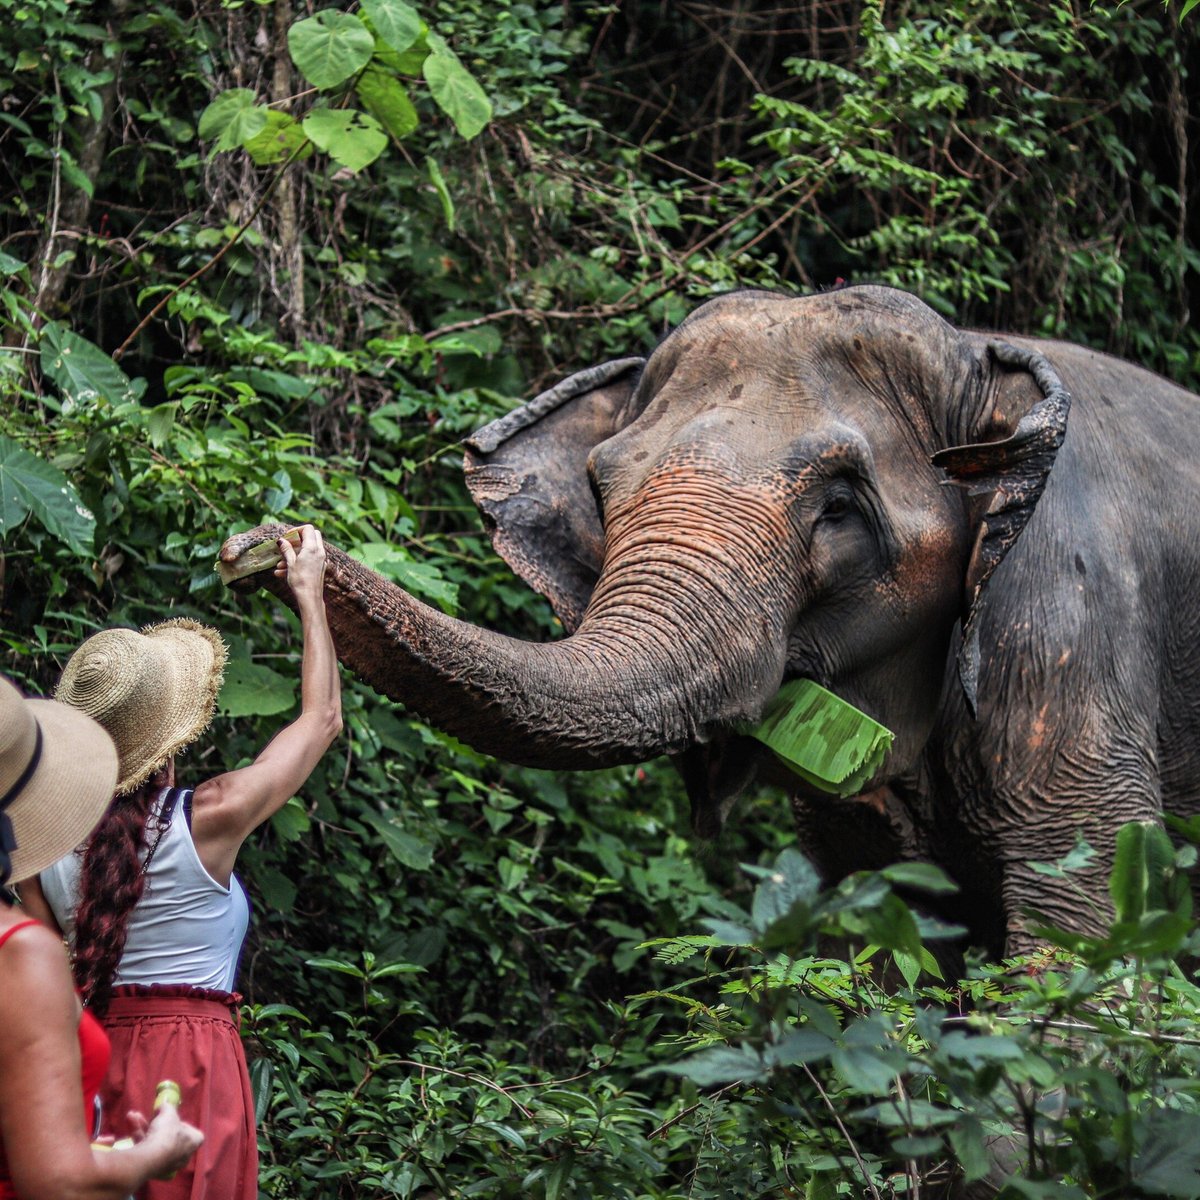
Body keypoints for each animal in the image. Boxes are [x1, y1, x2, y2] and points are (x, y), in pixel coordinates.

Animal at [220, 283, 1200, 955]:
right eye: (601, 485)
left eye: (841, 504)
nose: (258, 543)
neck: (982, 357)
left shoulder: (1065, 630)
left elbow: (1084, 941)